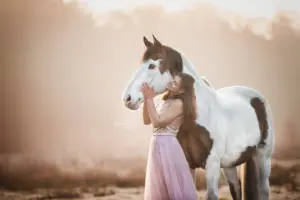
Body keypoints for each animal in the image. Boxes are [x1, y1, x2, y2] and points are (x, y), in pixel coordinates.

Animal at [121, 35, 274, 200]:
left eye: (152, 66)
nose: (127, 98)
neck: (198, 116)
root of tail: (257, 97)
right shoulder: (187, 164)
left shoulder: (212, 164)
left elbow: (211, 195)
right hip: (230, 165)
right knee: (236, 190)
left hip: (262, 157)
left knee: (263, 190)